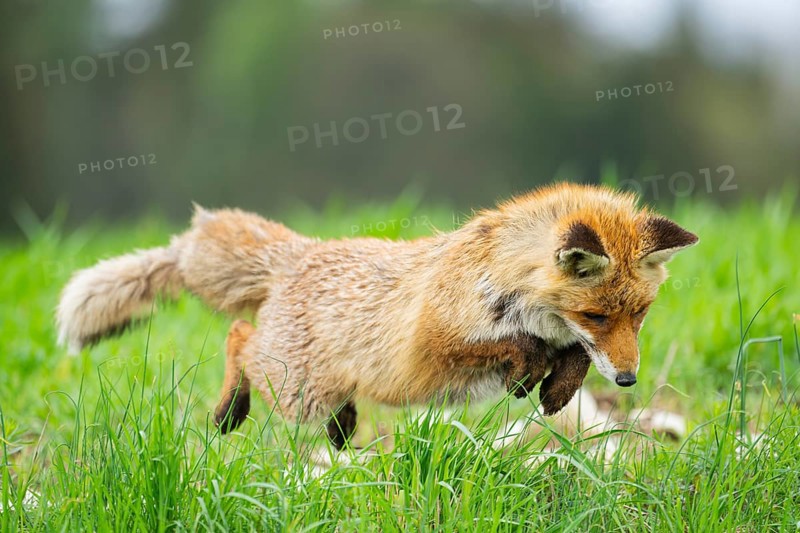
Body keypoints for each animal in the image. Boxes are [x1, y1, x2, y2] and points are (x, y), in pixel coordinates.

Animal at [56, 183, 698, 448]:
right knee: (239, 336)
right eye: (595, 314)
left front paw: (558, 389)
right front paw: (531, 373)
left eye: (639, 315)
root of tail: (304, 252)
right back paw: (229, 410)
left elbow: (568, 359)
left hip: (312, 393)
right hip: (296, 388)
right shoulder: (434, 341)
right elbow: (521, 347)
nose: (628, 380)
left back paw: (339, 432)